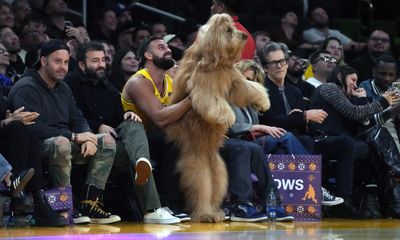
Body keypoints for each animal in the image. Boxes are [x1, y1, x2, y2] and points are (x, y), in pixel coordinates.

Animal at [164, 13, 270, 223]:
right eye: (228, 30)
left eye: (233, 28)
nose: (244, 36)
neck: (217, 61)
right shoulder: (203, 85)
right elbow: (212, 99)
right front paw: (226, 116)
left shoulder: (234, 80)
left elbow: (249, 88)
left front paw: (262, 101)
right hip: (197, 164)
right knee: (200, 187)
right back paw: (205, 213)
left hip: (218, 168)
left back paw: (215, 212)